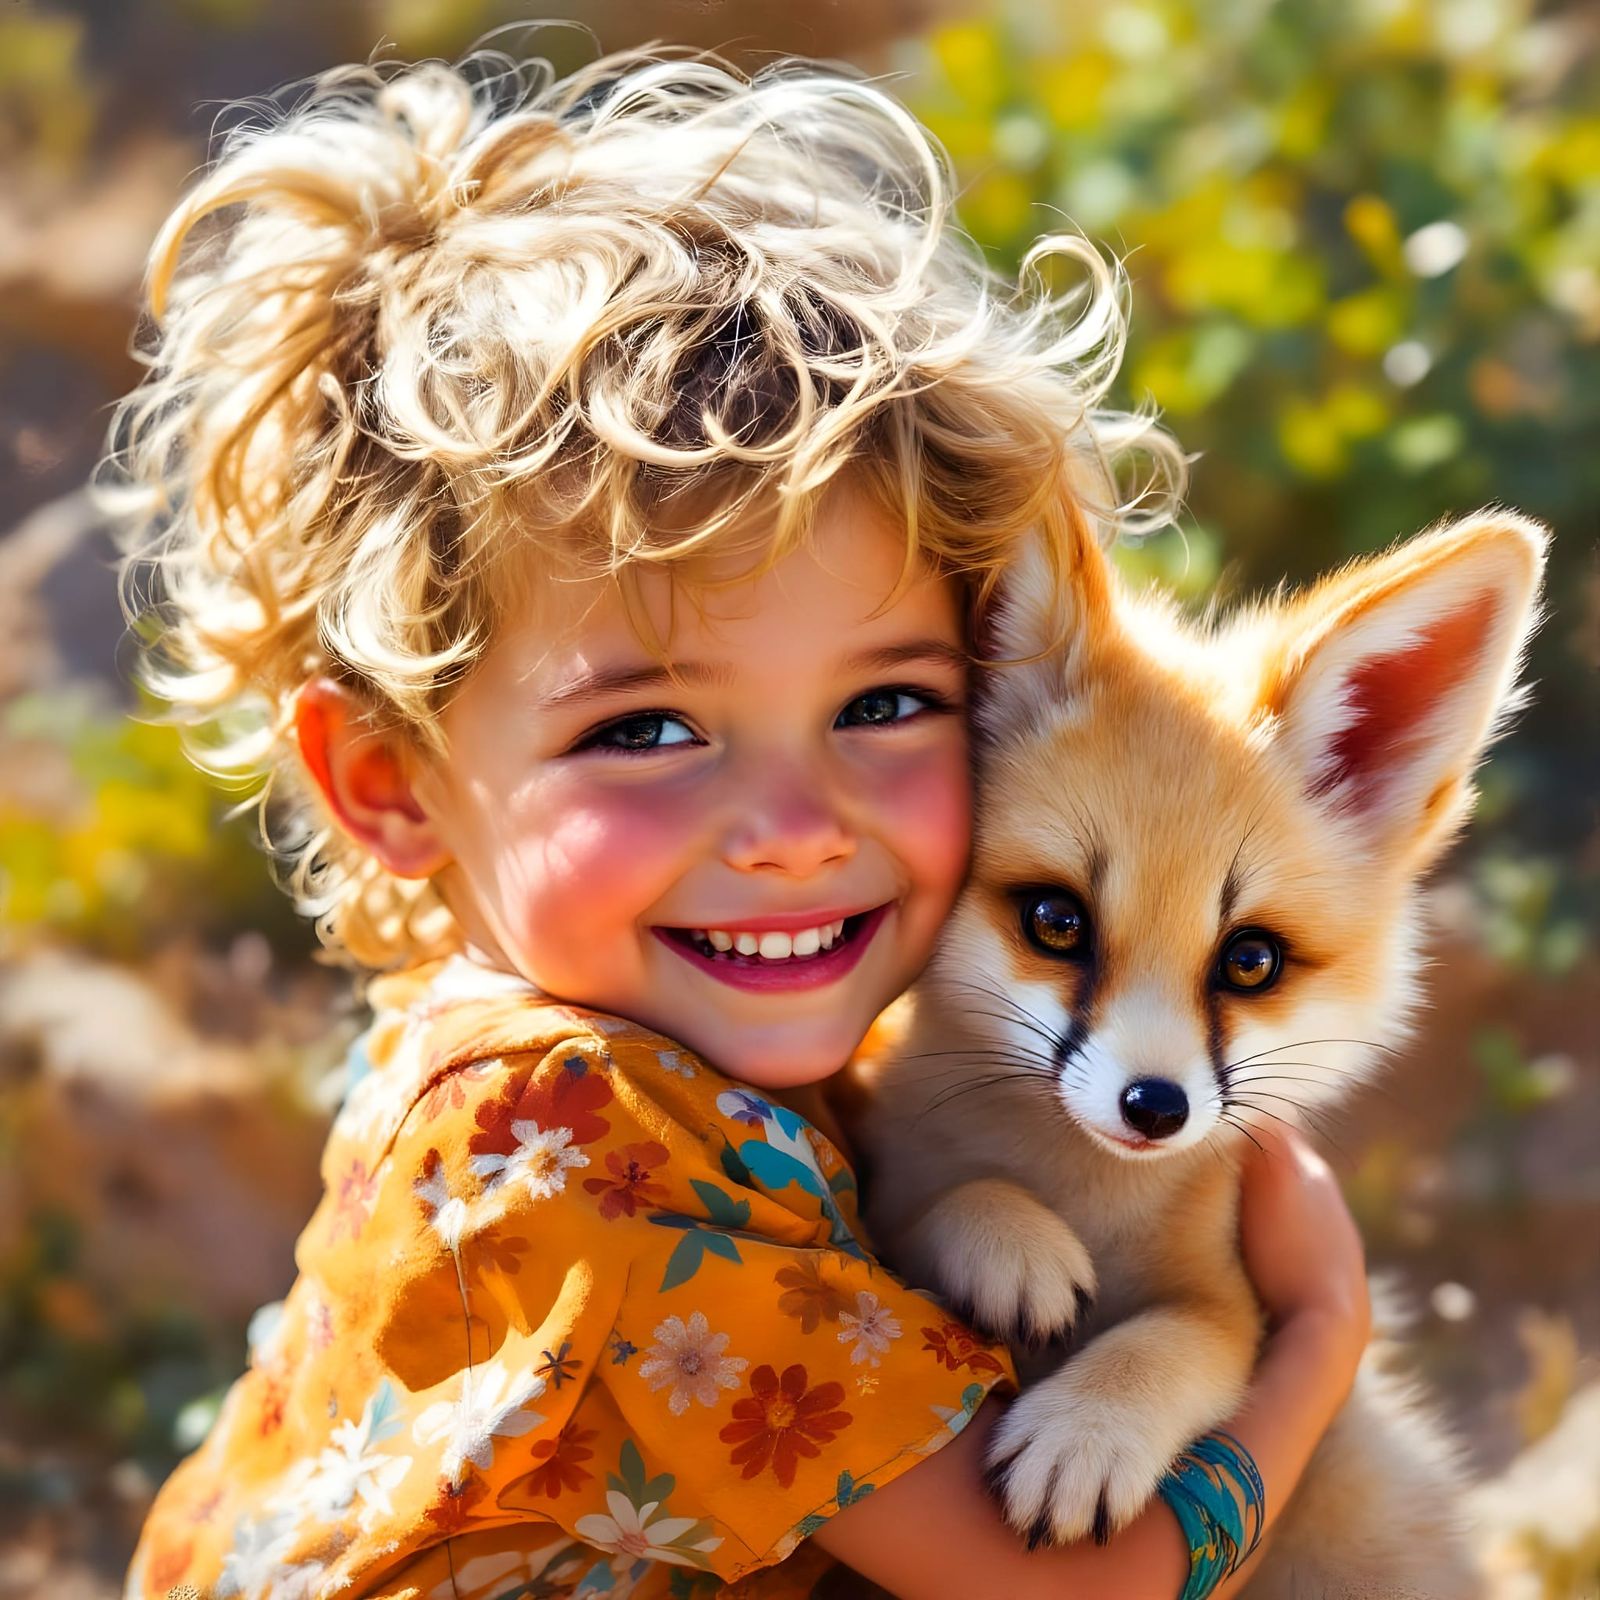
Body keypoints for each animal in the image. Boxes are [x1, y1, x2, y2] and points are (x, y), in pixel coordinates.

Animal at [859, 504, 1548, 1598]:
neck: (1089, 1197)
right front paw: (1006, 1238)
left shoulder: (1229, 1299)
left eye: (1250, 960)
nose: (1155, 1108)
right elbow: (935, 1207)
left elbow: (1179, 1339)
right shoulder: (885, 1187)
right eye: (1056, 921)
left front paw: (1089, 1427)